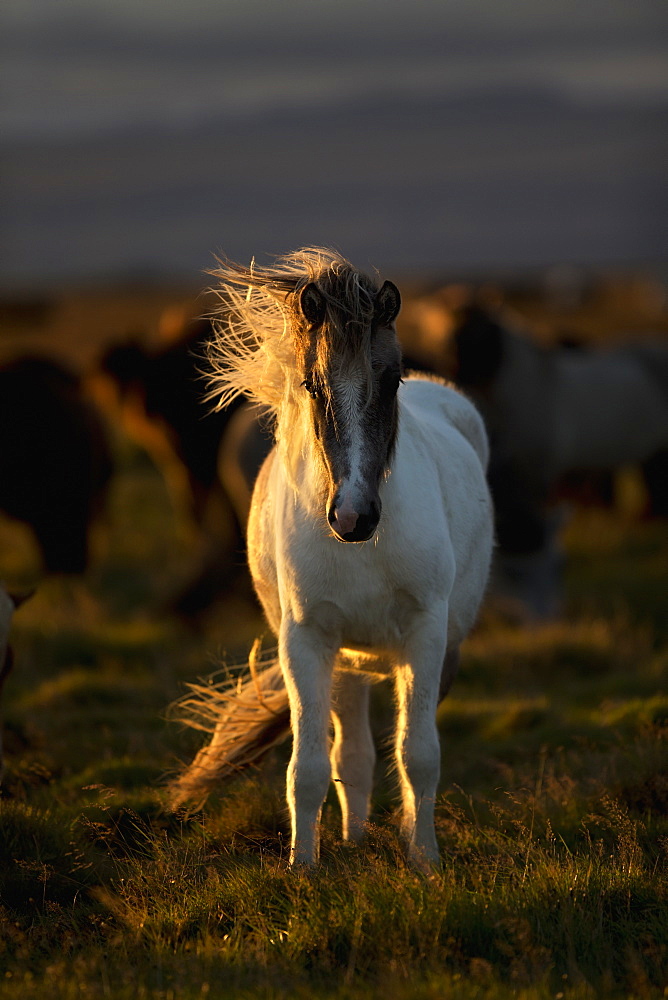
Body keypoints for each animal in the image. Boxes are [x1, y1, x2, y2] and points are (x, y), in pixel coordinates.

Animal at [170, 248, 494, 868]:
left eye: (391, 380)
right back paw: (355, 840)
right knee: (353, 755)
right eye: (311, 384)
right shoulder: (308, 642)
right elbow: (309, 768)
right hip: (346, 664)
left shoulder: (427, 636)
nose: (353, 516)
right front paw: (303, 867)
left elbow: (419, 754)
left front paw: (425, 861)